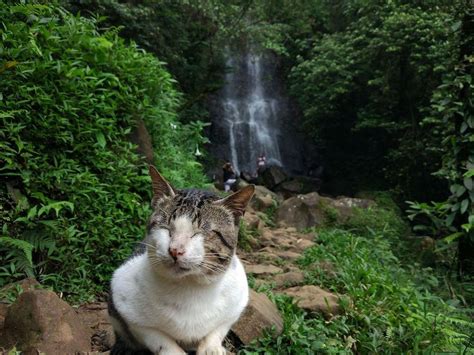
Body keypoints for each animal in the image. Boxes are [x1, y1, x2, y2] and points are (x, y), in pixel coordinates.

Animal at [109, 165, 254, 354]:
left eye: (200, 232)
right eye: (166, 228)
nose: (175, 250)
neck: (189, 288)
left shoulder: (236, 303)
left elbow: (218, 329)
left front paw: (212, 348)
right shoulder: (125, 304)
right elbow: (160, 339)